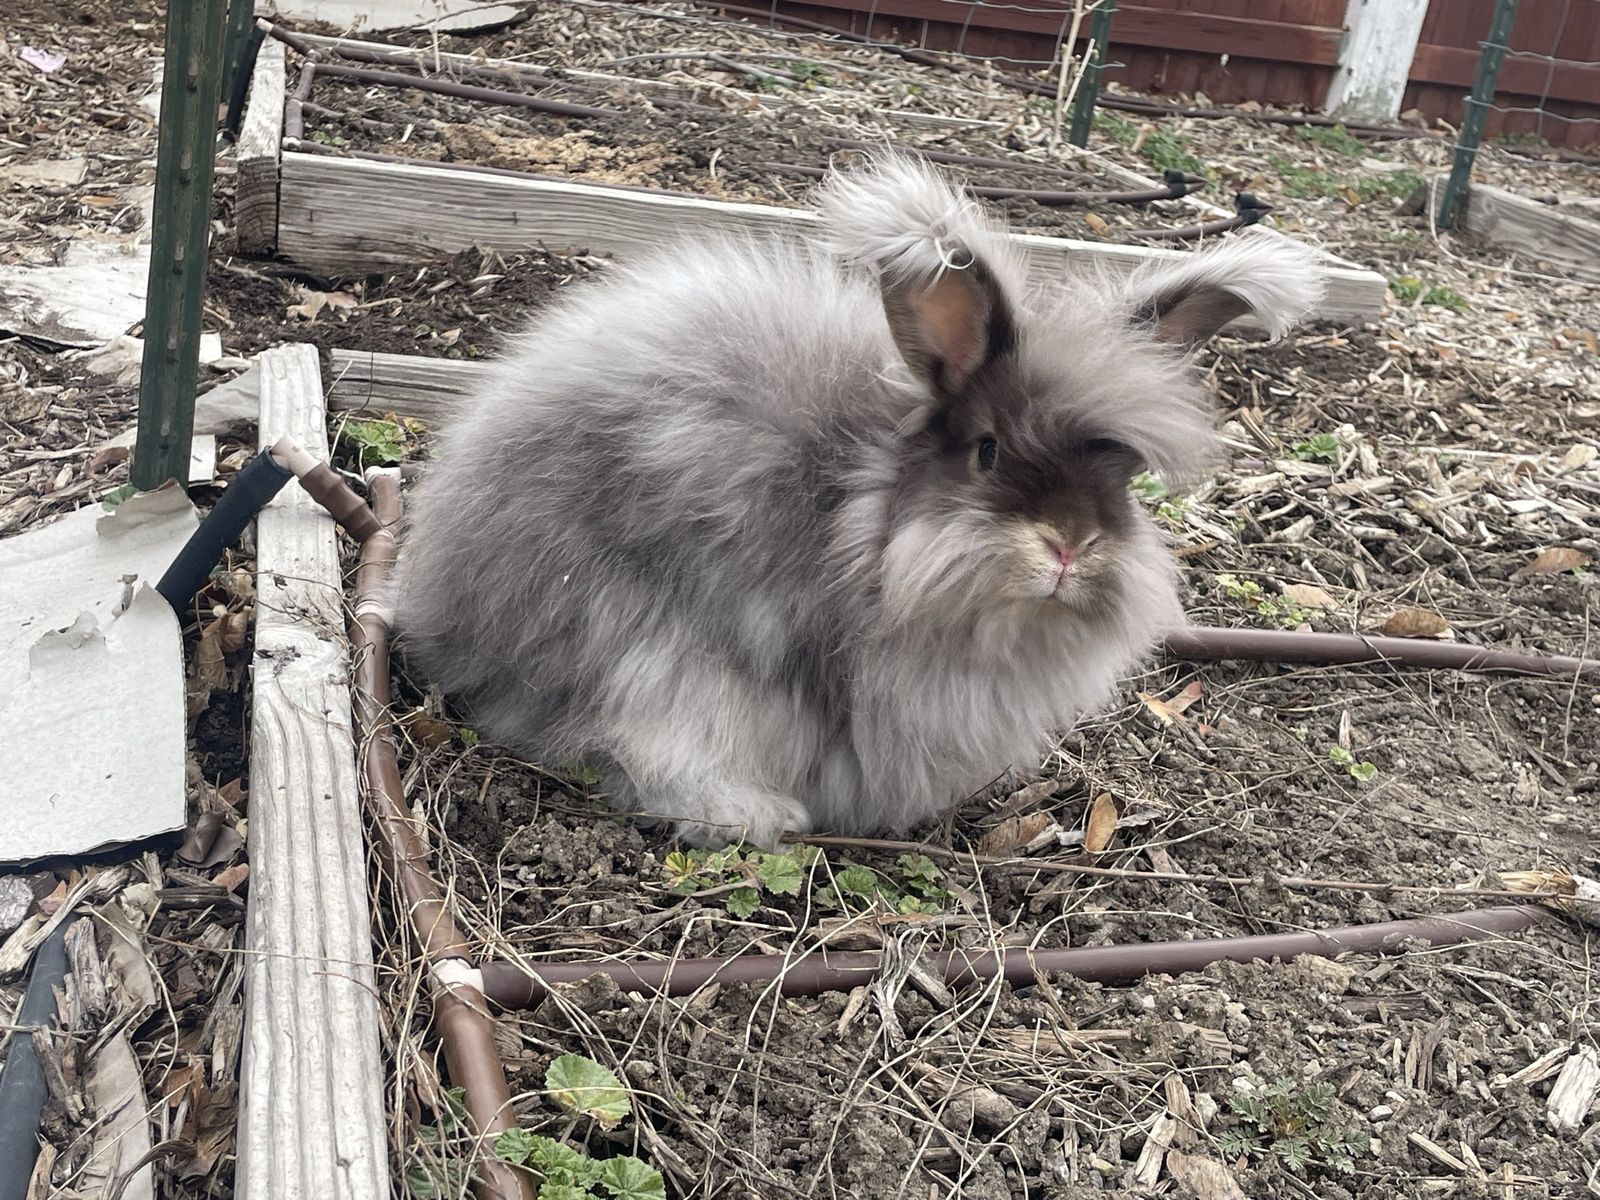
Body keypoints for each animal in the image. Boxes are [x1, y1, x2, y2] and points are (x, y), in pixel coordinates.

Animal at [392, 152, 1324, 850]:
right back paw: (751, 815)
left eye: (1122, 481)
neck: (864, 517)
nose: (1069, 546)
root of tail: (436, 600)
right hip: (635, 638)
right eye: (987, 450)